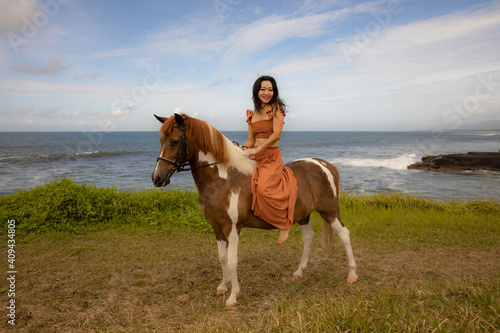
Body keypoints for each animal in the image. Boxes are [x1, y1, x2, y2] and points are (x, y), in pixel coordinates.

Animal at [150, 113, 358, 306]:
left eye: (175, 141)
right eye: (161, 141)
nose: (157, 178)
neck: (224, 180)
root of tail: (324, 164)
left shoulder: (232, 229)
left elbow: (232, 262)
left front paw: (233, 296)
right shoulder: (217, 228)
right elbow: (222, 258)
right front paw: (223, 286)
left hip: (330, 212)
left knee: (345, 234)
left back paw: (352, 274)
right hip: (303, 215)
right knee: (308, 237)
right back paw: (299, 272)